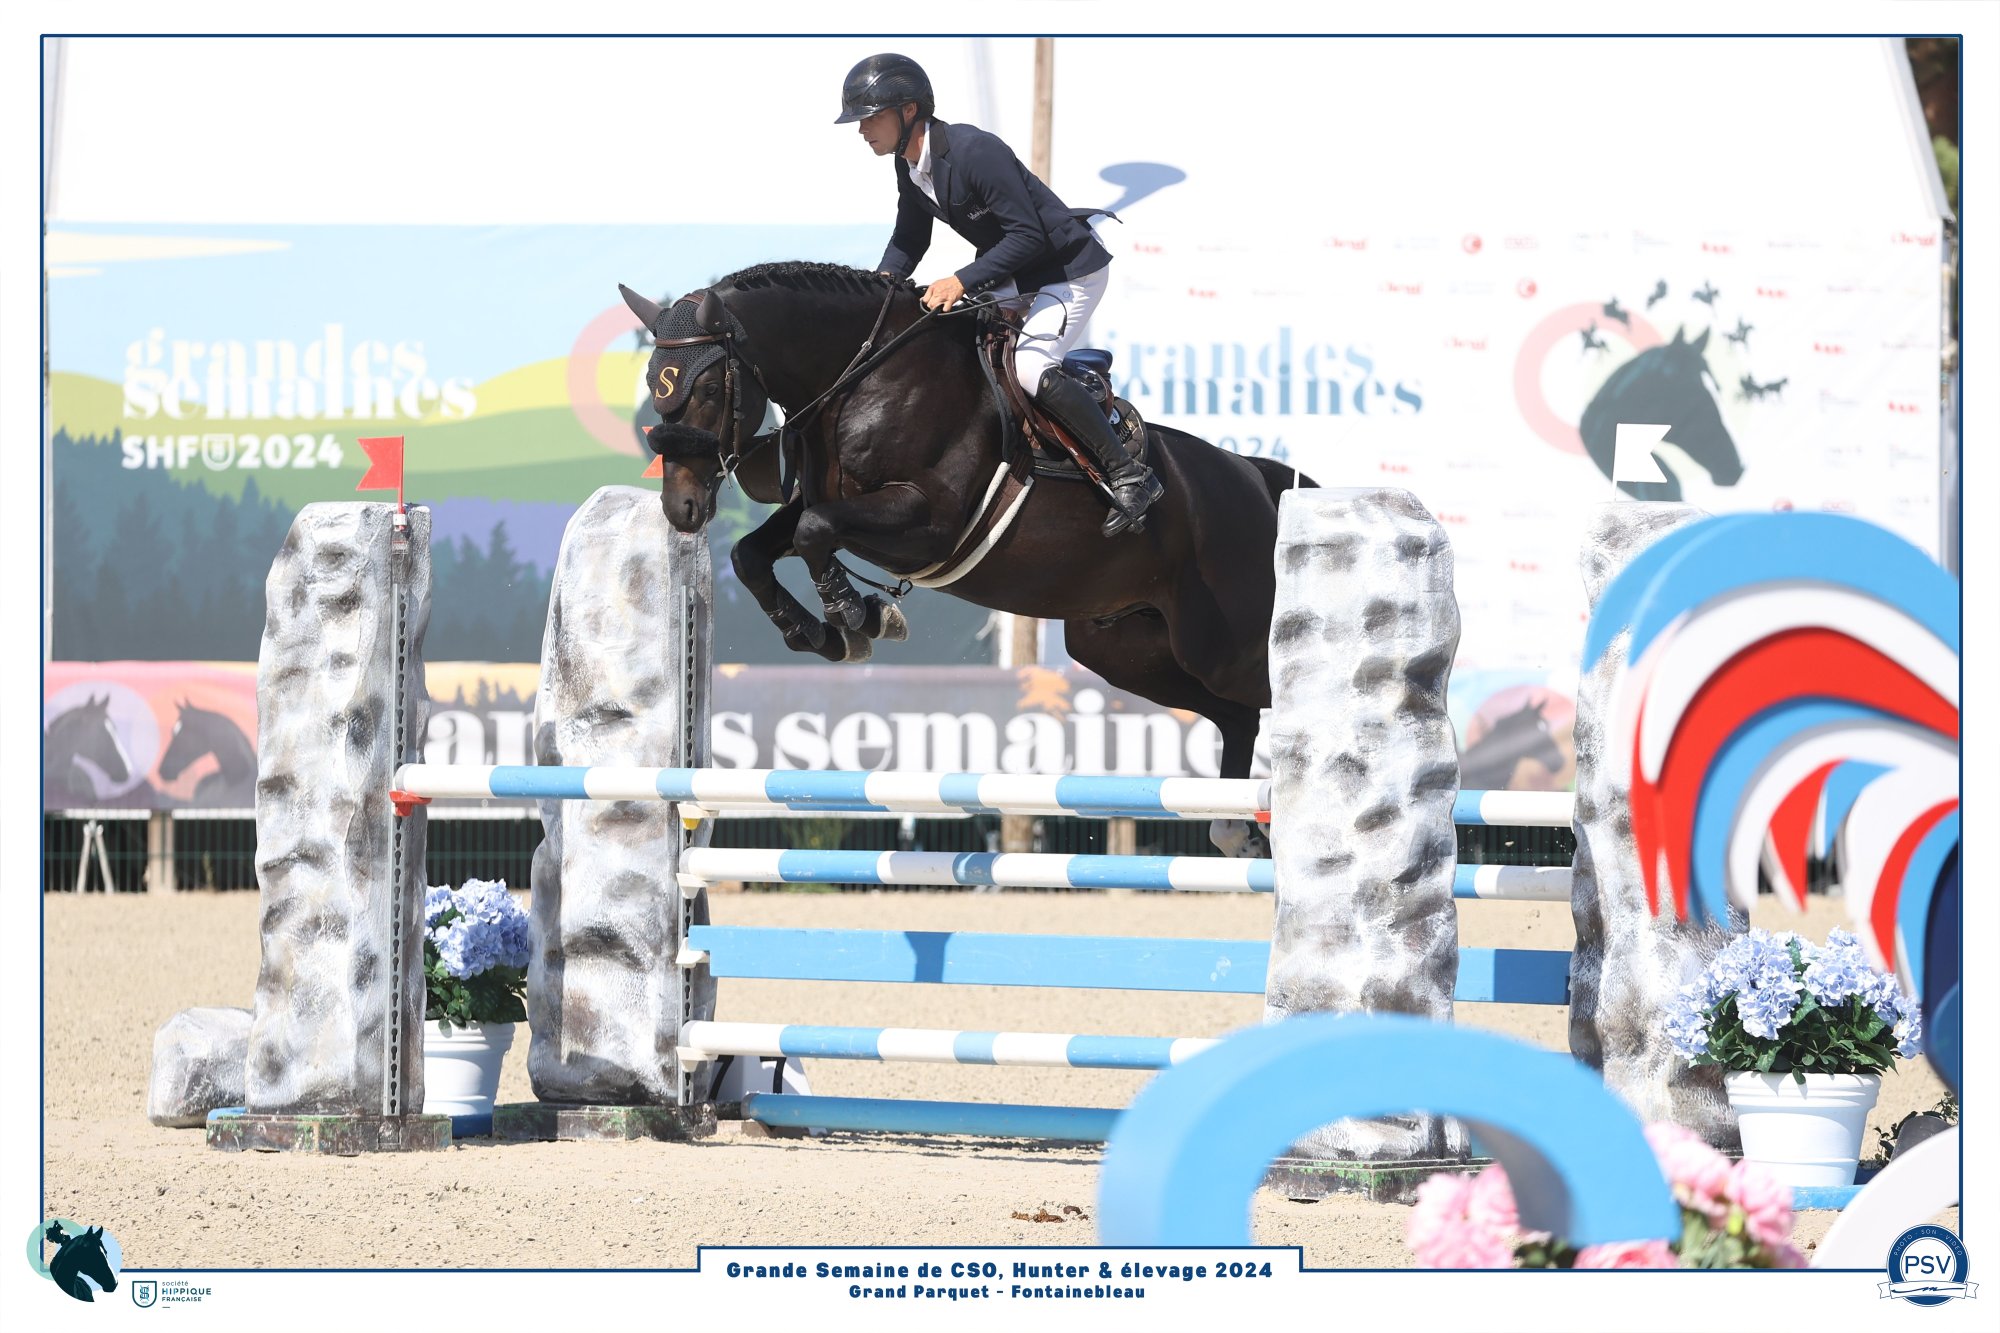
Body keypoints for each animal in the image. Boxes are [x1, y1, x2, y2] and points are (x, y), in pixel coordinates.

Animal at [619, 260, 1315, 857]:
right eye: (654, 386)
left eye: (709, 386)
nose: (681, 507)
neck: (865, 377)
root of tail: (1257, 480)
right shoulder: (834, 508)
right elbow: (754, 552)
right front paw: (821, 632)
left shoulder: (928, 522)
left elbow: (816, 534)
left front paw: (856, 616)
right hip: (1126, 650)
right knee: (1237, 715)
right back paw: (1239, 833)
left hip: (1222, 642)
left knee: (1261, 697)